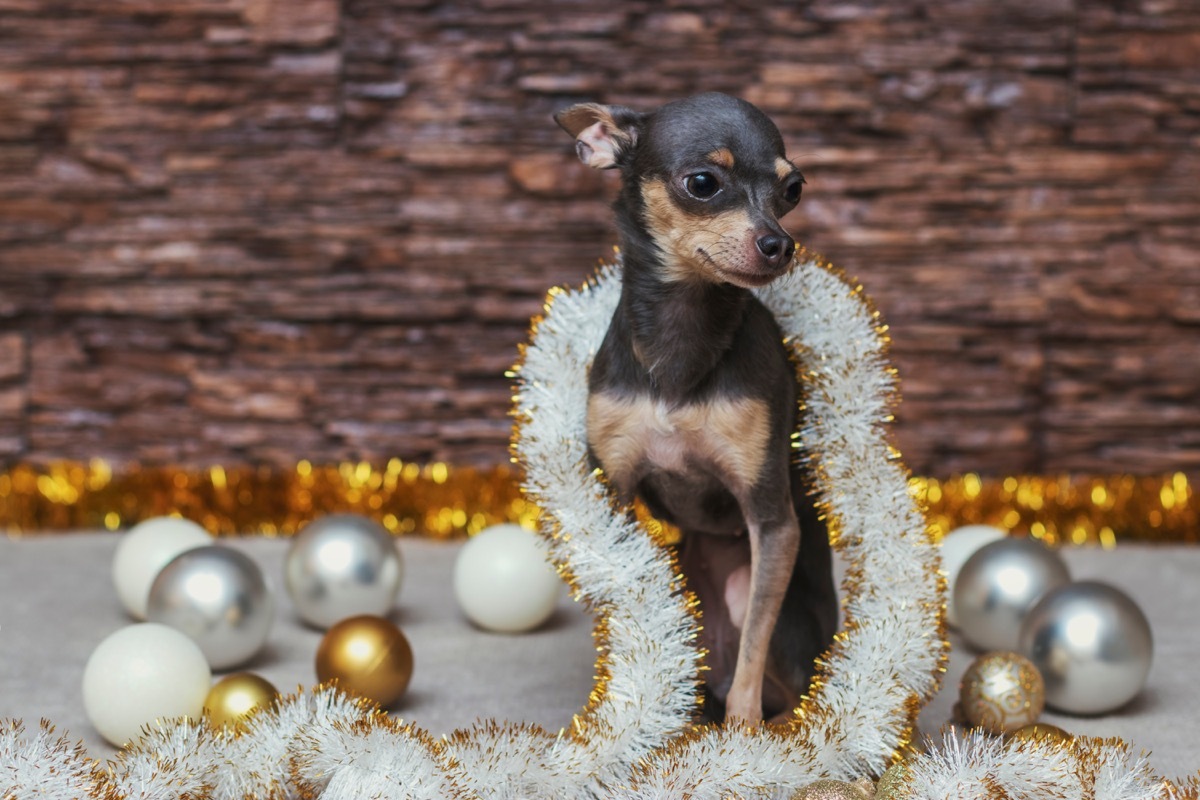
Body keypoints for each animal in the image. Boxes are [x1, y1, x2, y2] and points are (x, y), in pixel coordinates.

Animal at [556, 90, 840, 724]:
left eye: (793, 190)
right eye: (703, 183)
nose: (780, 243)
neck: (682, 335)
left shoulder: (772, 523)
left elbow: (755, 644)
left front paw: (741, 730)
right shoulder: (613, 500)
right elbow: (615, 615)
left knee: (789, 692)